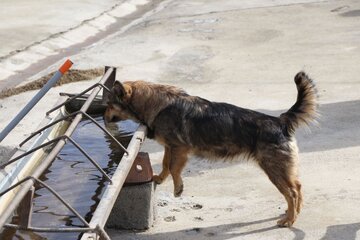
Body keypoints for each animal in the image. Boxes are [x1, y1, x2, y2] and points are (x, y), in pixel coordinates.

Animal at [104, 71, 318, 227]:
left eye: (108, 104)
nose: (104, 118)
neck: (154, 103)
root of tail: (279, 120)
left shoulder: (180, 148)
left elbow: (173, 168)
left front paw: (178, 188)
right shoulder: (170, 147)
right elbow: (165, 165)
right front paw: (159, 178)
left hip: (274, 169)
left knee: (291, 193)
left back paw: (289, 220)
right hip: (282, 170)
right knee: (297, 187)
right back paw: (293, 212)